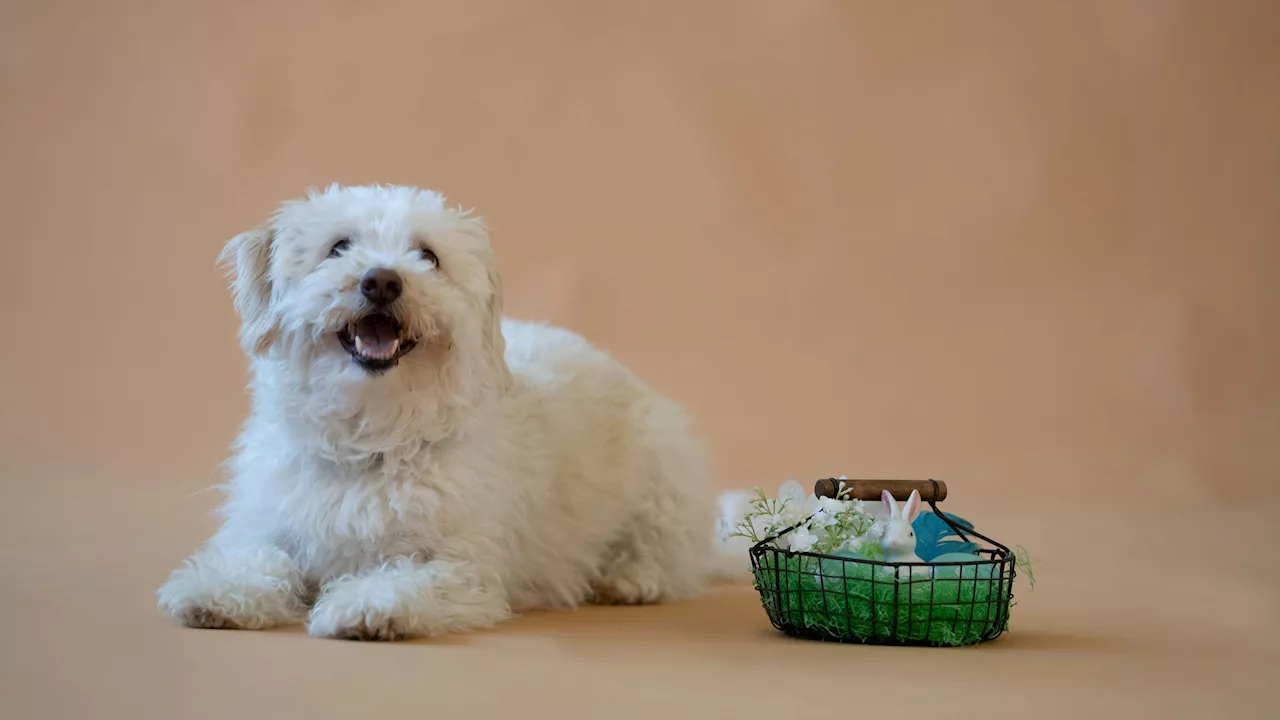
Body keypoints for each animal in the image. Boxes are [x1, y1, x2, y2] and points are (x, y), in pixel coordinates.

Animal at [154, 184, 727, 638]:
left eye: (427, 256)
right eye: (338, 246)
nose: (382, 280)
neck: (372, 436)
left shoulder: (460, 565)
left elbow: (404, 578)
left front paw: (364, 606)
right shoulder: (267, 527)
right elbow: (256, 560)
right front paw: (215, 592)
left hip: (664, 479)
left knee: (668, 557)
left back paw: (627, 580)